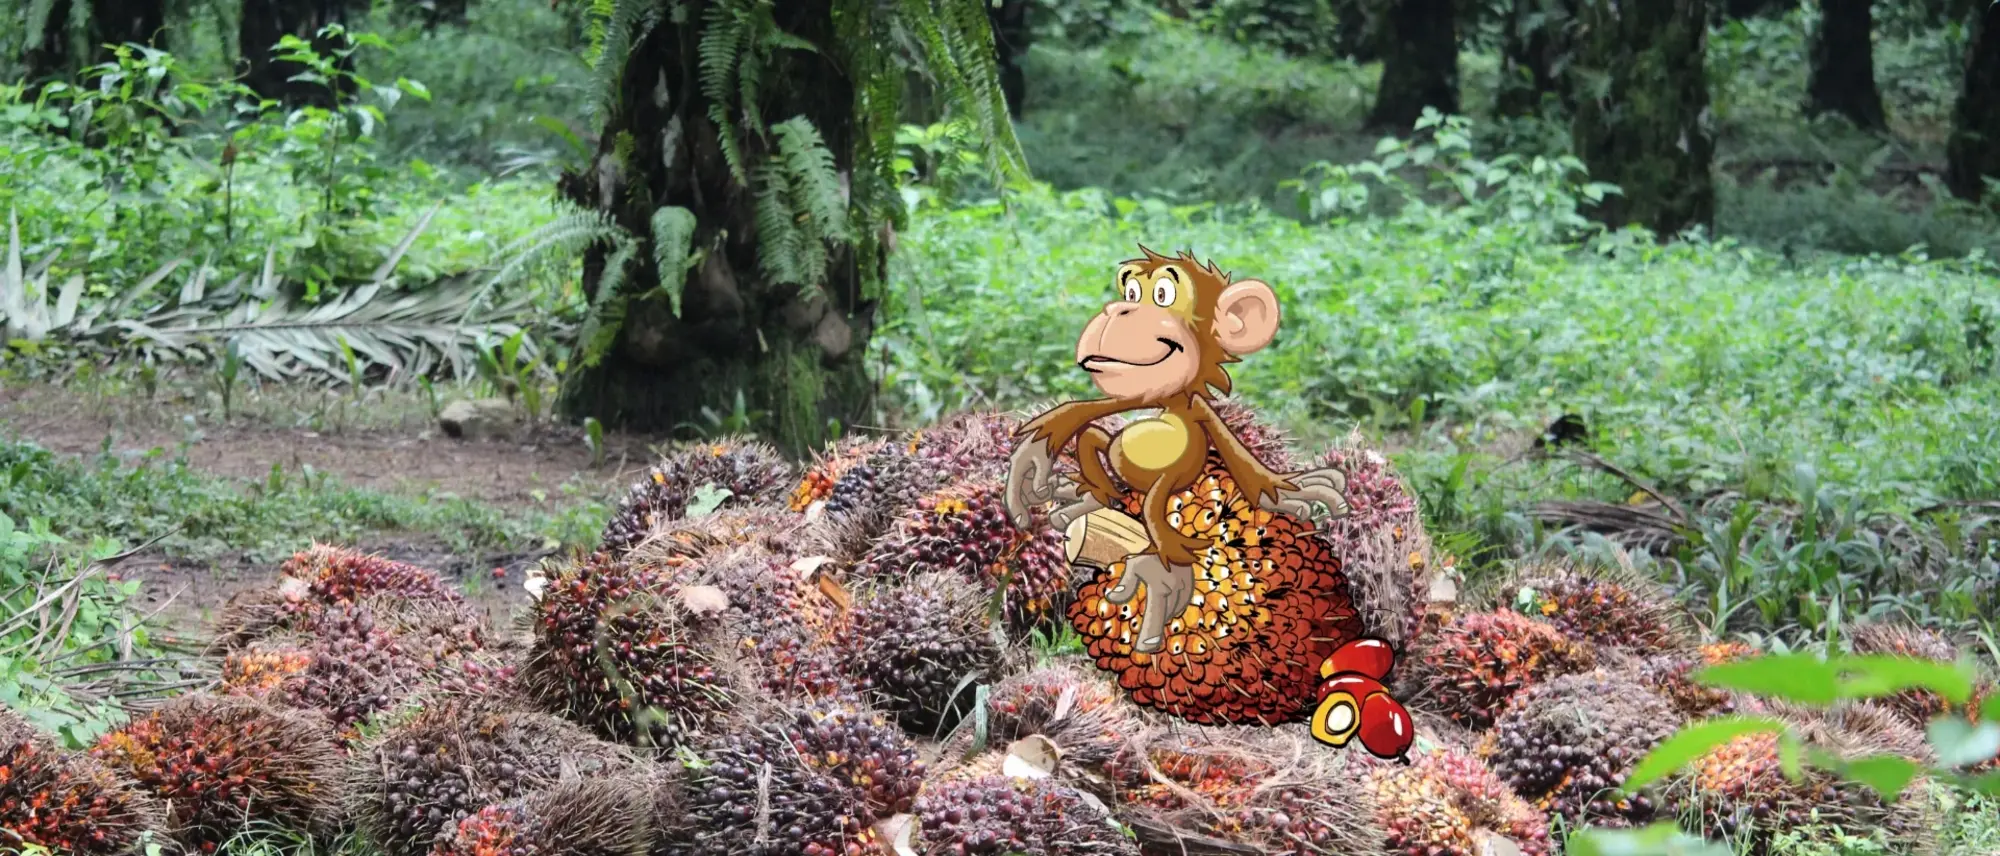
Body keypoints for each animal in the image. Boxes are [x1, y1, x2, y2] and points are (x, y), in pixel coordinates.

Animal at [1004, 245, 1353, 654]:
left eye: (1163, 295)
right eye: (1131, 291)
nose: (1115, 310)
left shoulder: (1195, 413)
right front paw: (1038, 448)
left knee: (1149, 502)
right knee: (1093, 442)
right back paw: (1088, 500)